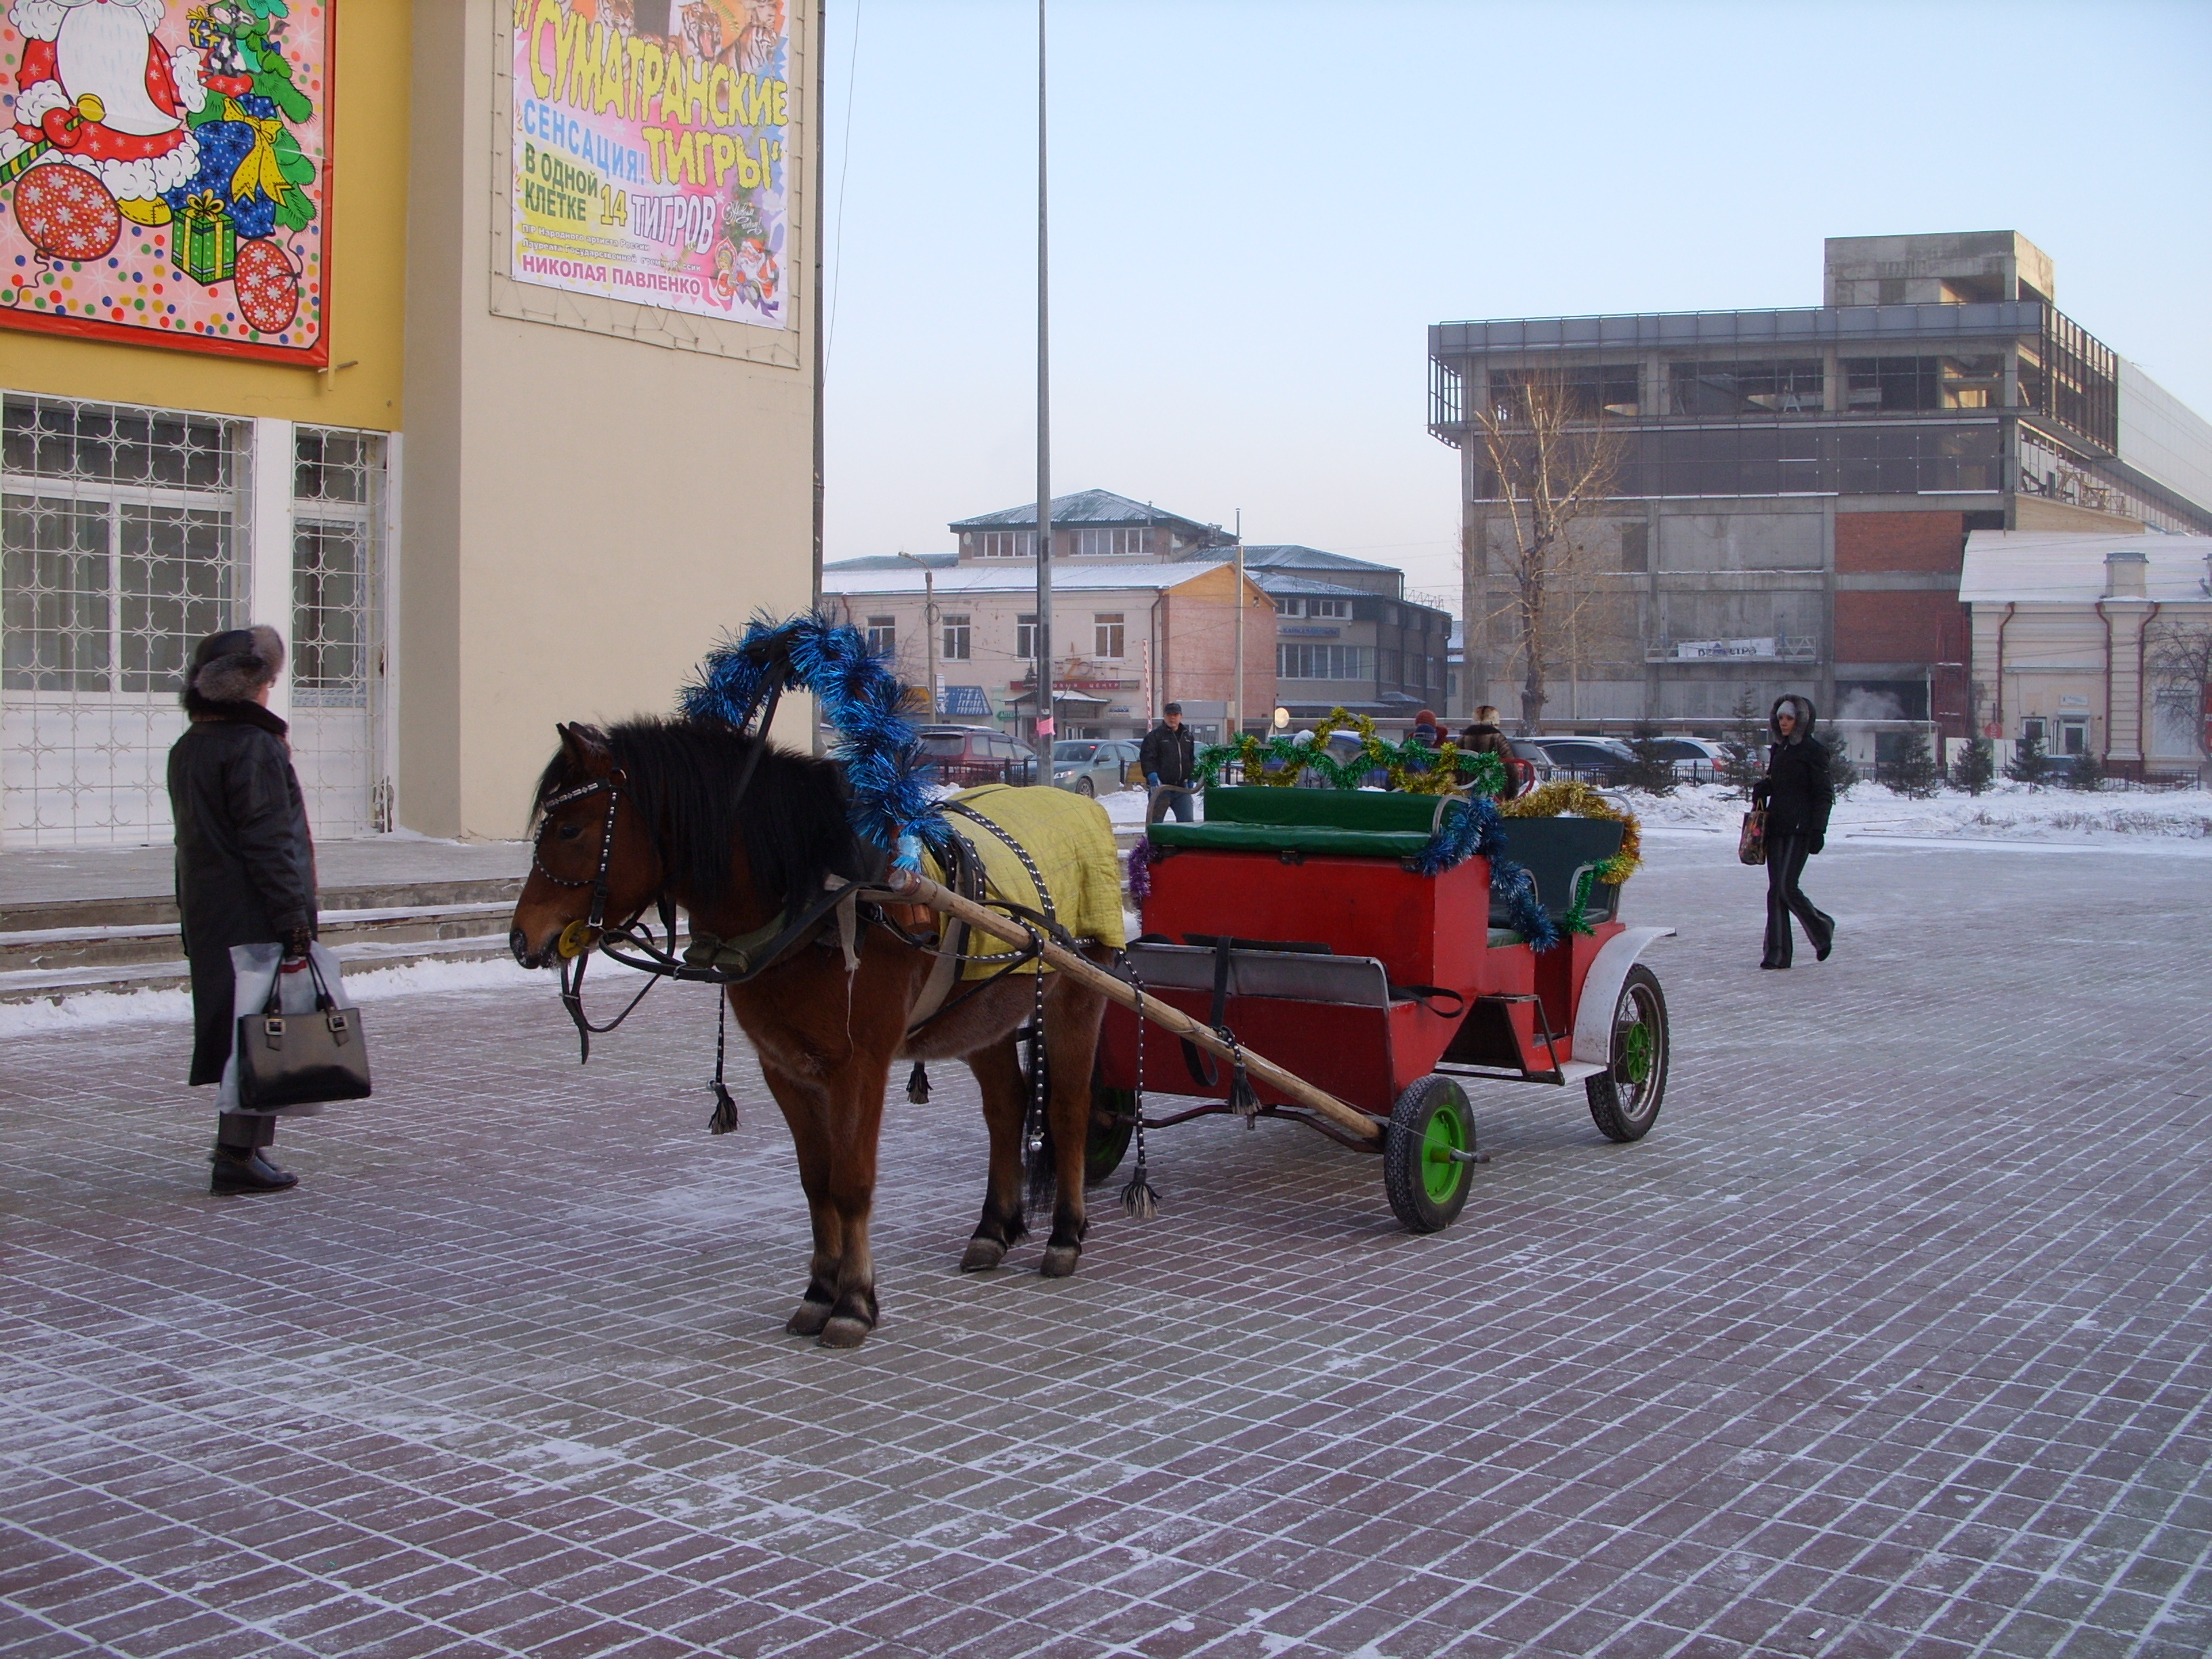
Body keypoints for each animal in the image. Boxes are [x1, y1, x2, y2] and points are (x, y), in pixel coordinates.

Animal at [508, 721, 1115, 1345]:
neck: (822, 899)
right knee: (1006, 1109)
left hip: (1079, 994)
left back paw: (1065, 1235)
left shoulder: (860, 1066)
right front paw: (820, 1291)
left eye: (570, 829)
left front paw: (854, 1301)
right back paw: (993, 1229)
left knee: (1068, 1110)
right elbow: (816, 1182)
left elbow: (851, 1183)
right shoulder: (785, 1068)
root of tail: (1078, 804)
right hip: (981, 1014)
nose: (522, 939)